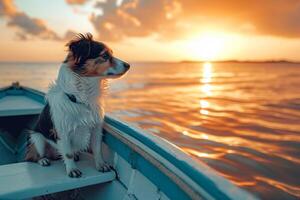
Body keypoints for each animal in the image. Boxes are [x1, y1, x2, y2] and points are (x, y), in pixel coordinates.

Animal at [24, 33, 130, 178]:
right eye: (104, 55)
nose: (128, 65)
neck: (82, 98)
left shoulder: (96, 129)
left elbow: (97, 149)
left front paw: (101, 165)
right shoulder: (62, 131)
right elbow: (68, 153)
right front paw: (72, 170)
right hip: (37, 138)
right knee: (33, 156)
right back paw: (43, 160)